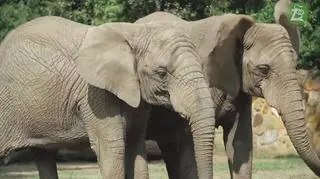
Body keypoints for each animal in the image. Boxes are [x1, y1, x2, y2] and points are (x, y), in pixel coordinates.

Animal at [0, 15, 218, 179]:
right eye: (162, 73)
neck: (135, 32)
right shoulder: (94, 94)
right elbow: (112, 150)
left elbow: (136, 149)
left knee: (44, 156)